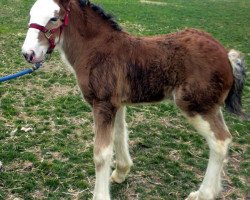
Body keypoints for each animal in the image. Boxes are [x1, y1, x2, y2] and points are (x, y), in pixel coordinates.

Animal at [21, 0, 246, 200]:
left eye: (54, 18)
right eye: (30, 15)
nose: (28, 54)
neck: (95, 49)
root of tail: (227, 56)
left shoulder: (102, 104)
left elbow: (101, 153)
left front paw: (101, 195)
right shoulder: (116, 104)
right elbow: (120, 135)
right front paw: (121, 172)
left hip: (196, 106)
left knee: (220, 141)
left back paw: (202, 194)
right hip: (211, 106)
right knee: (225, 137)